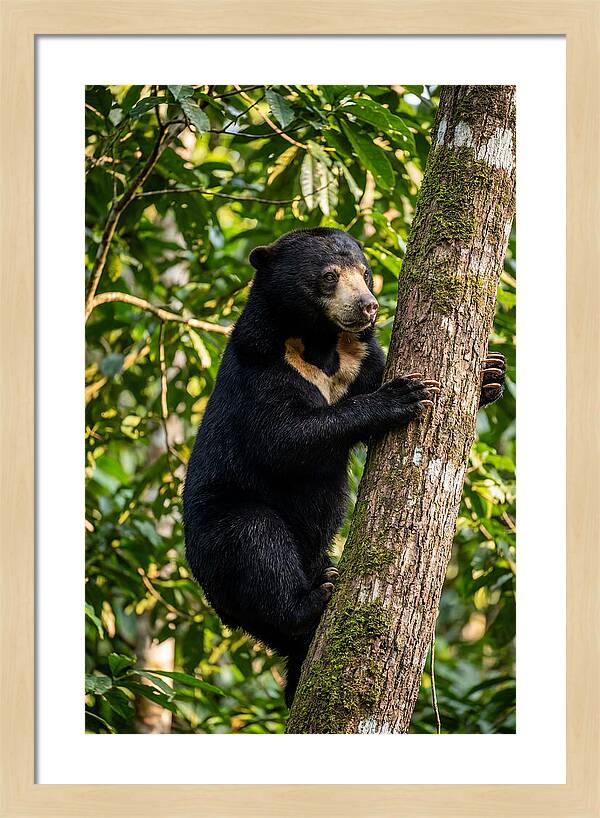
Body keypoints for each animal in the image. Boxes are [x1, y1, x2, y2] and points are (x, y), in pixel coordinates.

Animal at [182, 227, 505, 707]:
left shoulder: (360, 358)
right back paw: (314, 598)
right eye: (330, 276)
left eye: (367, 273)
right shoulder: (261, 367)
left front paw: (490, 374)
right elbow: (282, 439)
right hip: (218, 530)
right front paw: (403, 396)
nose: (368, 306)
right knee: (254, 540)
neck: (320, 344)